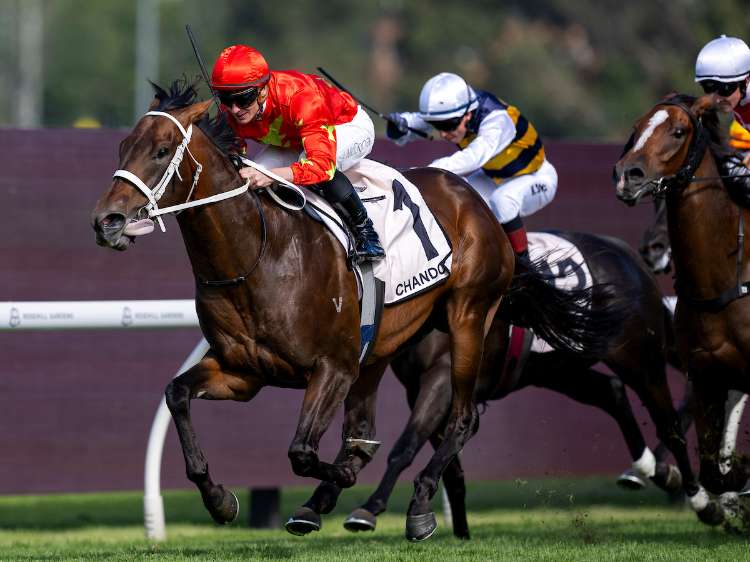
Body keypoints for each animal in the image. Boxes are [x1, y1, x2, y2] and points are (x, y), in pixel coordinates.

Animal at [90, 80, 620, 541]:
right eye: (122, 148)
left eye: (161, 151)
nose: (106, 220)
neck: (255, 255)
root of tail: (473, 199)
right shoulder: (243, 372)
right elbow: (177, 395)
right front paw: (220, 500)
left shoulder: (333, 367)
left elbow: (303, 452)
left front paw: (341, 478)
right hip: (381, 347)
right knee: (372, 427)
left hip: (468, 317)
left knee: (462, 418)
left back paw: (417, 508)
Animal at [292, 230, 696, 537]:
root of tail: (627, 256)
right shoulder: (416, 387)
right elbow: (448, 465)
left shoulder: (440, 377)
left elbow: (405, 446)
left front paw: (369, 507)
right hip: (560, 370)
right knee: (610, 393)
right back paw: (652, 470)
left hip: (639, 357)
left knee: (669, 420)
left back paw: (698, 495)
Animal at [614, 93, 750, 527]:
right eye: (636, 127)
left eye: (678, 130)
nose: (628, 174)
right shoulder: (707, 373)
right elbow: (712, 468)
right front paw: (725, 491)